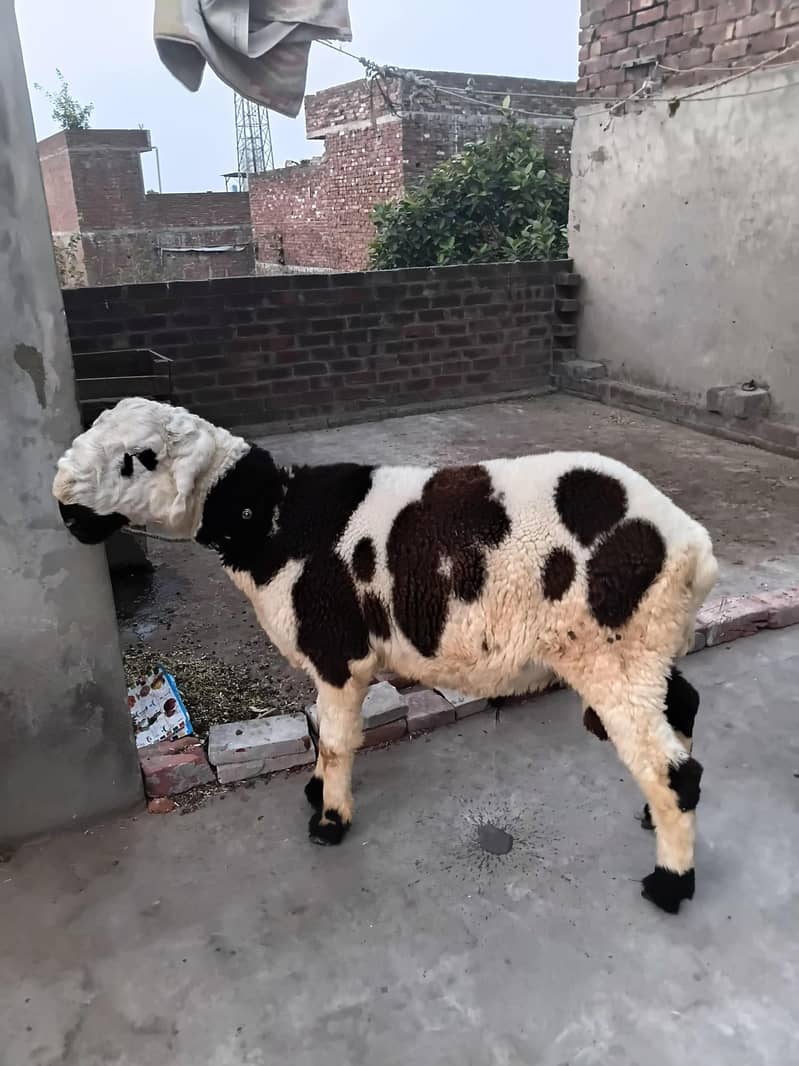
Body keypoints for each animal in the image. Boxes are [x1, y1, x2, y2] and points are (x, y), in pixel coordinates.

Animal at [53, 397, 718, 914]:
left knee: (672, 769)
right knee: (684, 707)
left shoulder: (336, 650)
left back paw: (670, 884)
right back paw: (651, 820)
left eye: (138, 457)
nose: (63, 505)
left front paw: (329, 821)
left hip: (612, 652)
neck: (272, 521)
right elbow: (326, 730)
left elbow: (337, 739)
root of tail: (693, 546)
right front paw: (317, 790)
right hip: (649, 642)